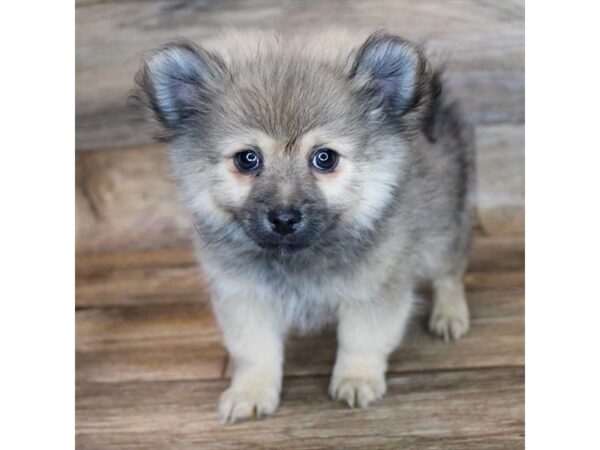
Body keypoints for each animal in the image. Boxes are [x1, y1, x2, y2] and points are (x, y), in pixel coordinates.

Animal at [135, 29, 474, 424]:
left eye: (324, 158)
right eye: (247, 159)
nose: (284, 217)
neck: (297, 258)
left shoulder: (374, 290)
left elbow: (361, 339)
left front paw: (356, 379)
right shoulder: (244, 295)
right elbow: (255, 351)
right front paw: (251, 391)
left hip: (442, 231)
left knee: (451, 272)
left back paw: (449, 315)